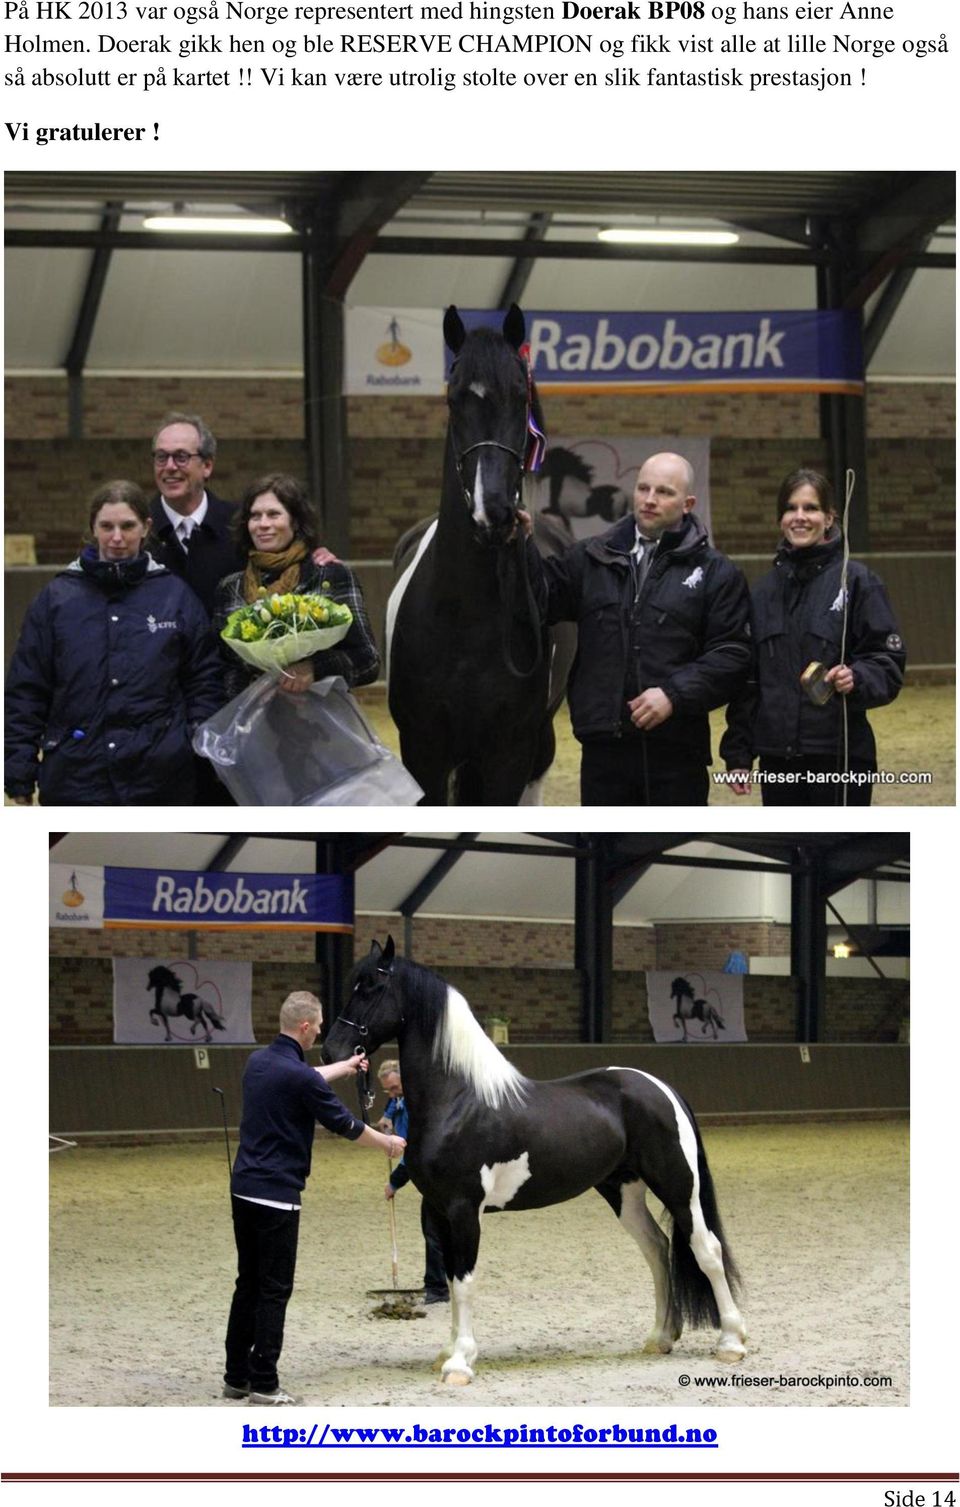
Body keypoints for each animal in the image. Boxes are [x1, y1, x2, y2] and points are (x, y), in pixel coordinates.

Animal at [325, 940, 744, 1386]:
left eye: (372, 987)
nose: (332, 1050)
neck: (459, 1101)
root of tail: (663, 1088)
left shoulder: (463, 1209)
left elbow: (465, 1282)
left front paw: (460, 1363)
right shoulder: (439, 1211)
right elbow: (453, 1281)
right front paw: (449, 1353)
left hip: (679, 1187)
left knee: (706, 1249)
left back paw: (731, 1342)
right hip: (623, 1190)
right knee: (657, 1249)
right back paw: (660, 1337)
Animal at [385, 299, 572, 807]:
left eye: (521, 397)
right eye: (454, 399)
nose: (495, 514)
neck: (465, 614)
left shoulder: (508, 754)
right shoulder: (423, 750)